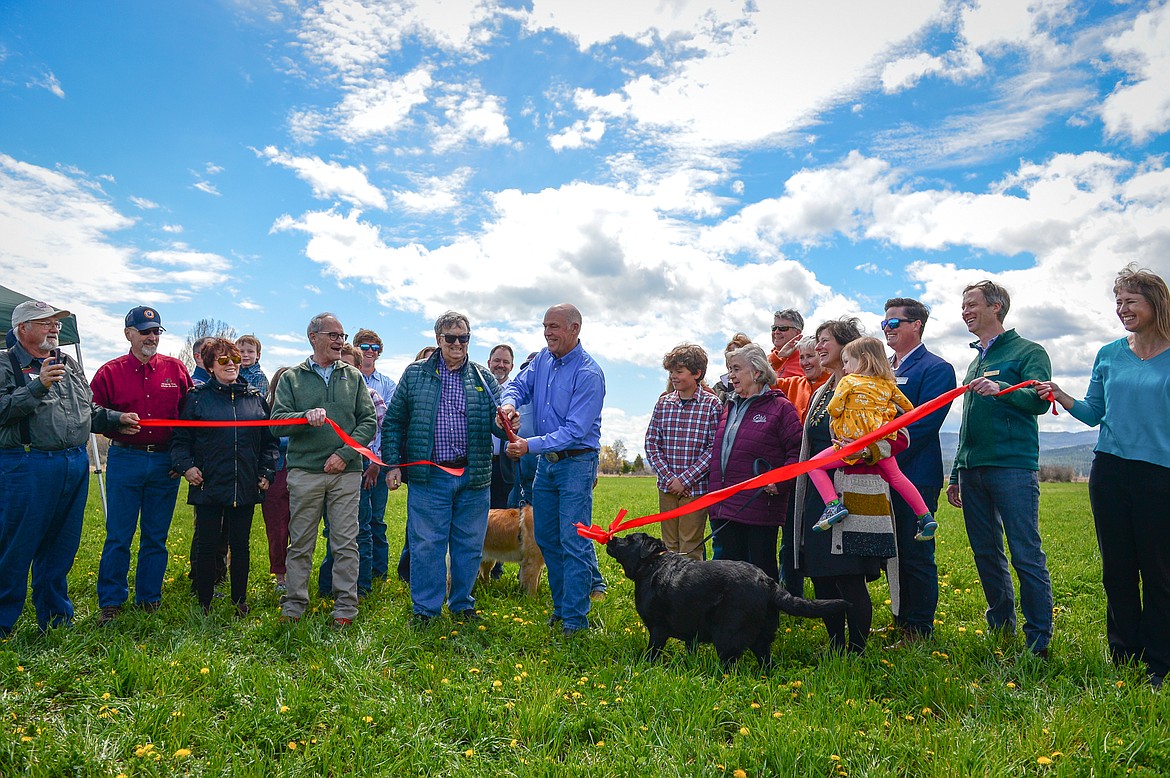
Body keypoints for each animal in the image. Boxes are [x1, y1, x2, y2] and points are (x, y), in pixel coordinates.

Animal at [608, 533, 847, 669]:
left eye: (628, 540)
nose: (610, 539)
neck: (652, 563)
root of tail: (767, 582)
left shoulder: (658, 629)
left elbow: (651, 653)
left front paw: (643, 666)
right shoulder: (690, 629)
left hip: (727, 636)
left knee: (730, 667)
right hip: (762, 639)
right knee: (767, 663)